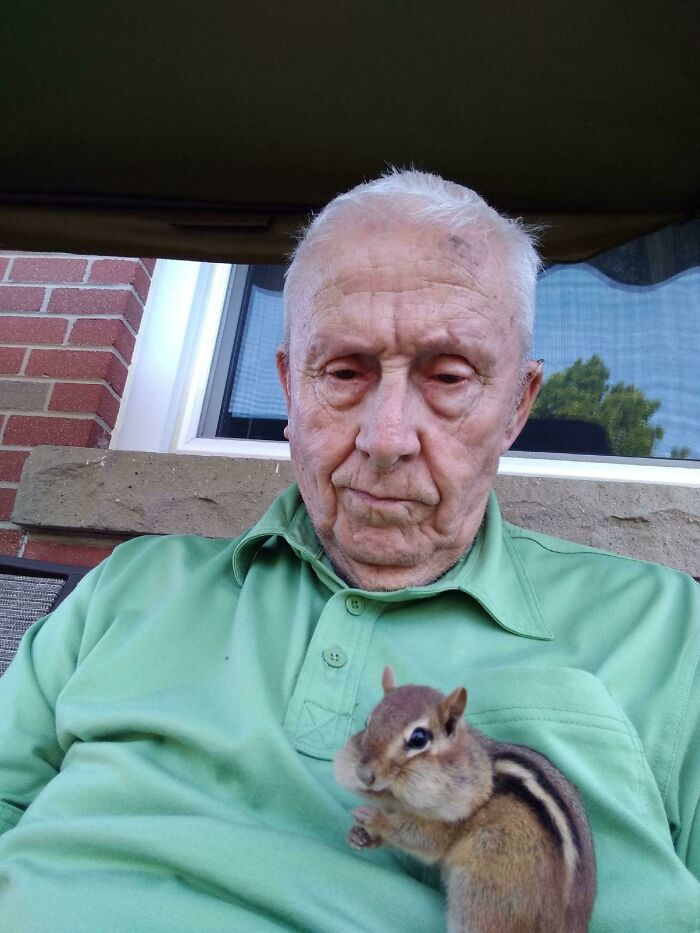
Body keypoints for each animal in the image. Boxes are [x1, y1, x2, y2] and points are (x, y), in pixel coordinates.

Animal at [333, 666, 596, 933]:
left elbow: (423, 840)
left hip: (478, 900)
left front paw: (375, 820)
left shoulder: (451, 823)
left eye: (419, 738)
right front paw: (359, 835)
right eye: (367, 722)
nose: (363, 774)